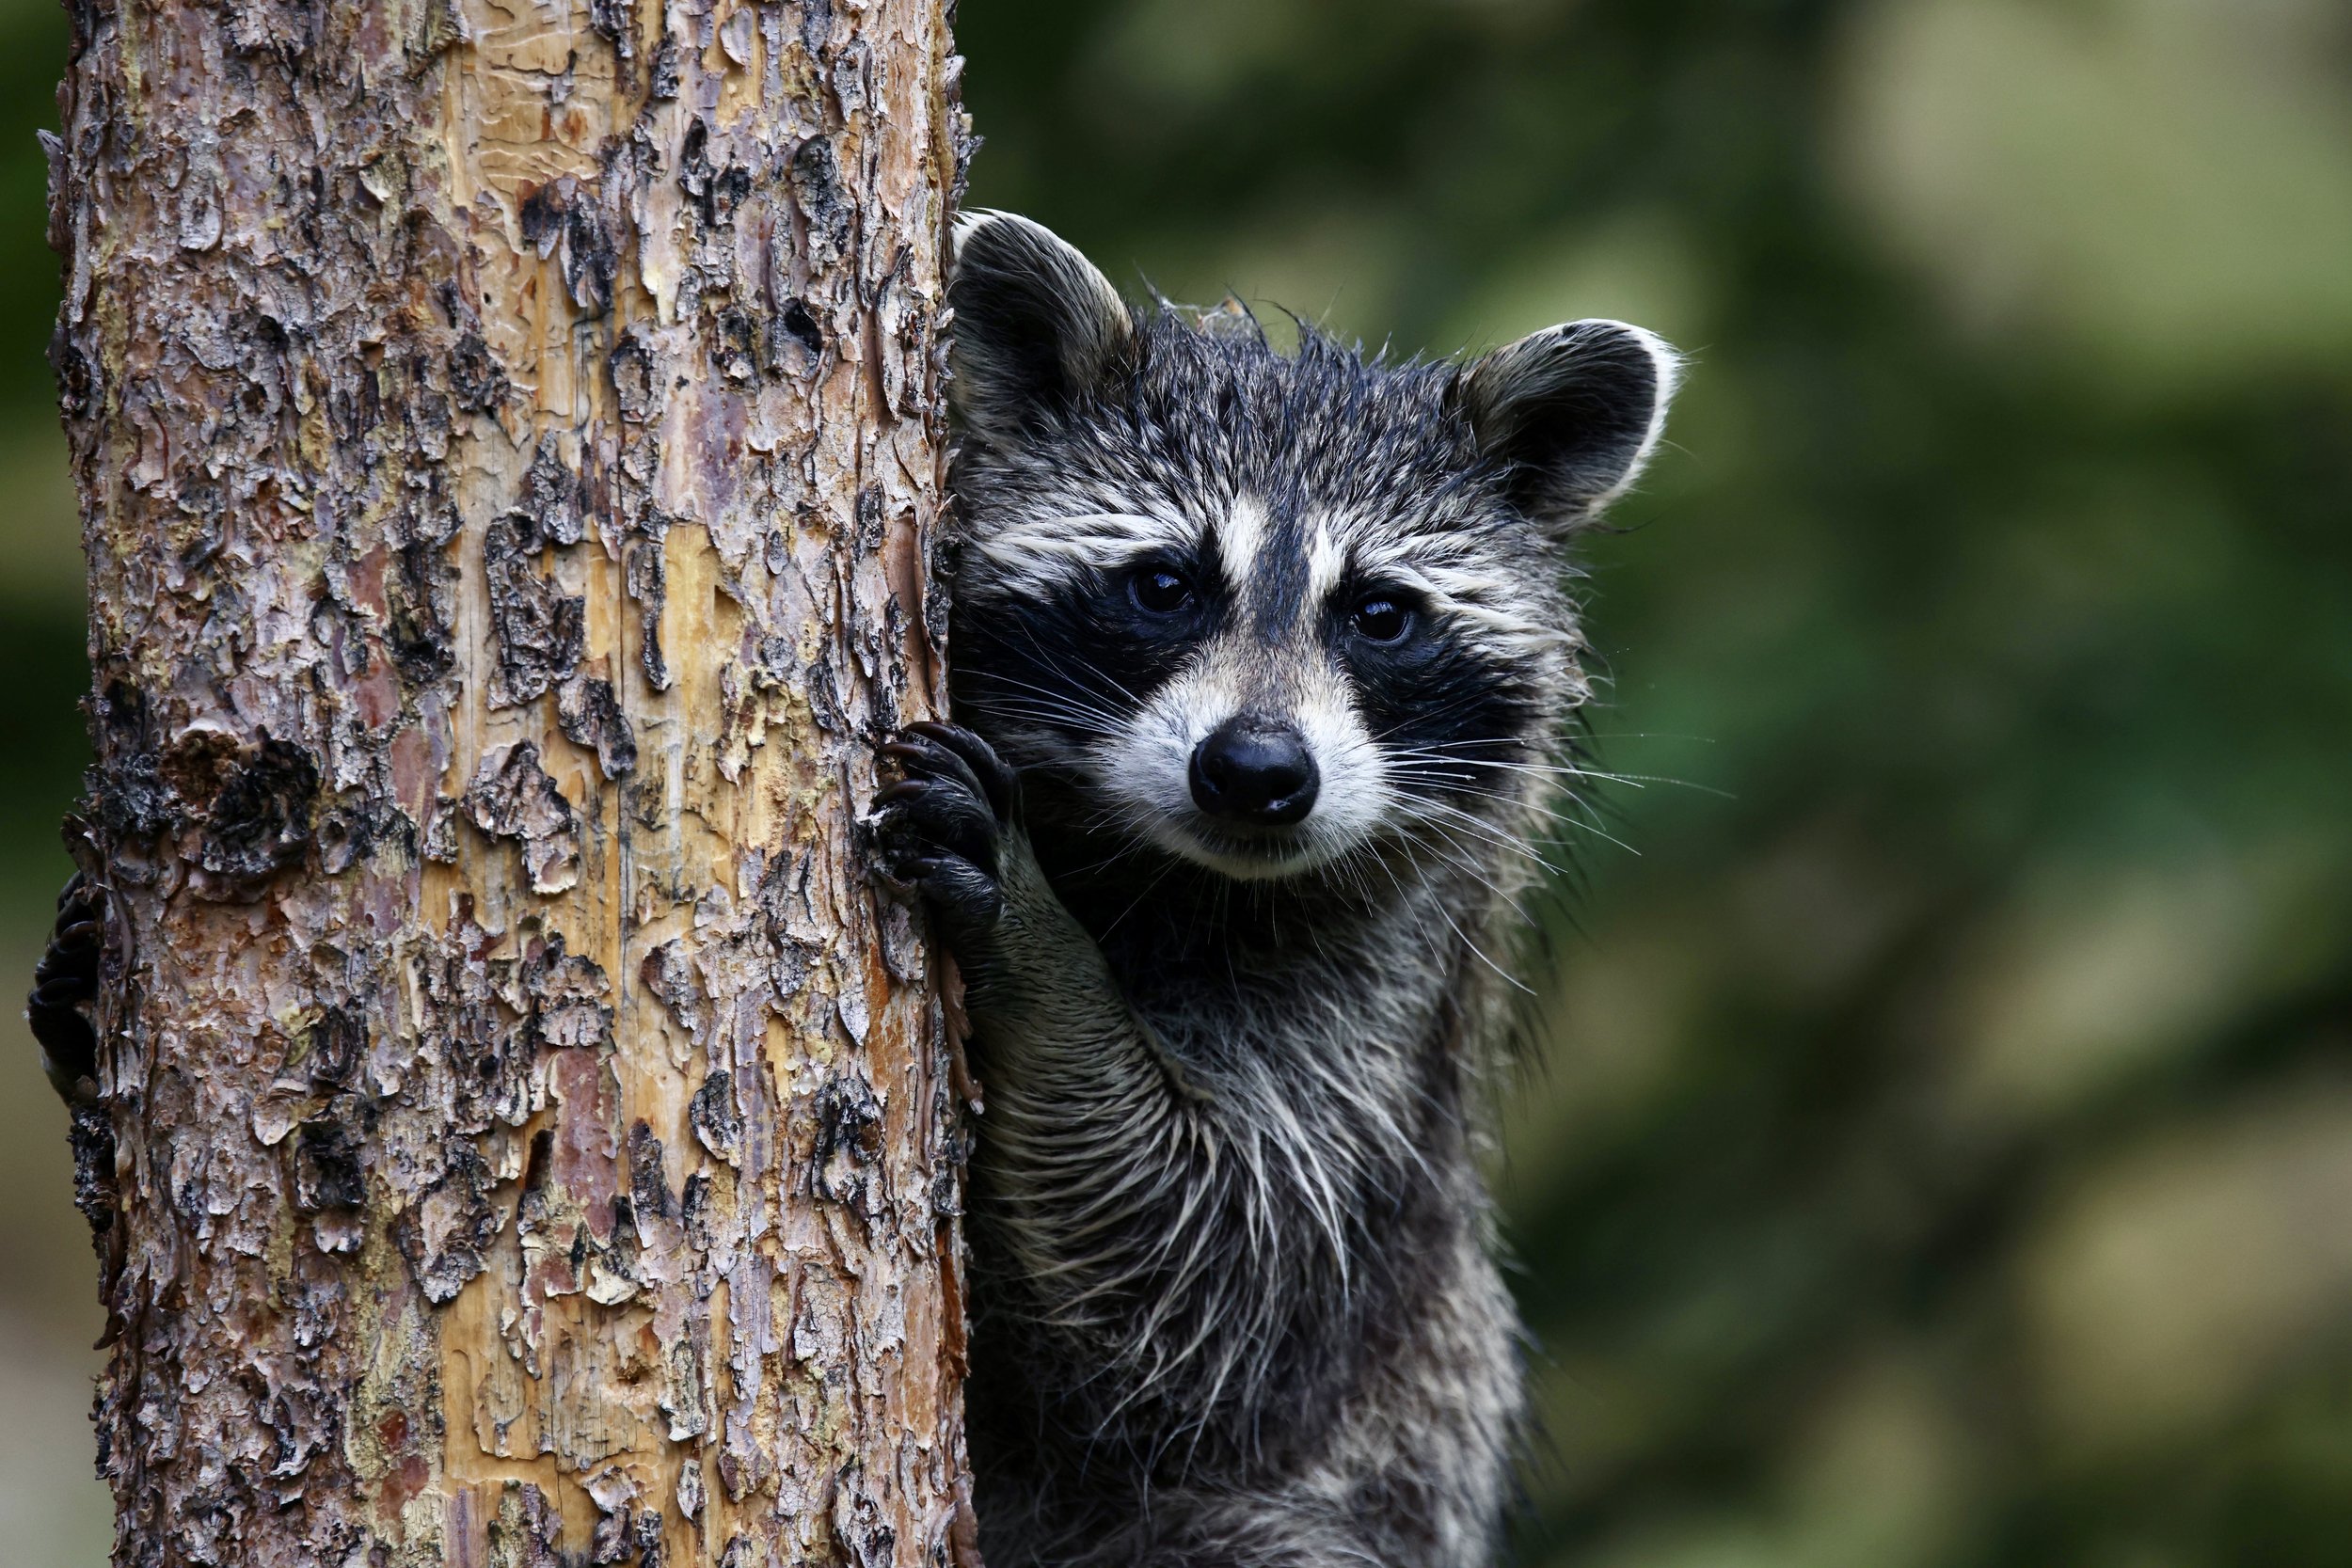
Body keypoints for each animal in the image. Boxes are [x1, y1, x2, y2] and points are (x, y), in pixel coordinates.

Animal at [876, 213, 1678, 1568]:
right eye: (1164, 585)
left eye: (1381, 615)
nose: (1255, 772)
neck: (1171, 869)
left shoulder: (1374, 1020)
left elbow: (1200, 1295)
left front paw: (1042, 955)